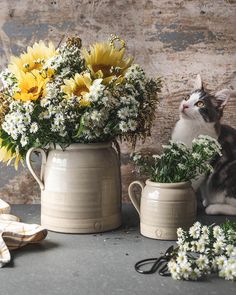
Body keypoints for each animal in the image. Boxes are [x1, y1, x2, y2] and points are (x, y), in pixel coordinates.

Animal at [171, 75, 236, 216]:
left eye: (200, 104)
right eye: (187, 97)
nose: (184, 105)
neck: (190, 127)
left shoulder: (200, 165)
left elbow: (190, 183)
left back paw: (213, 208)